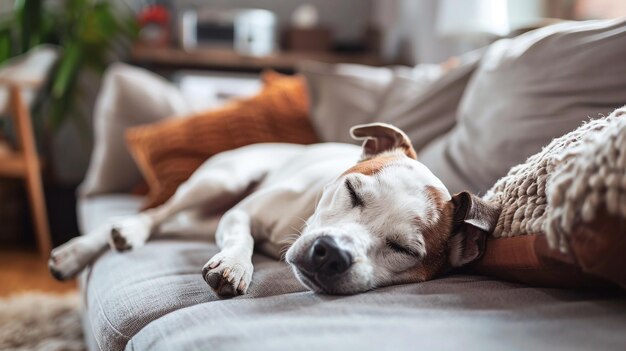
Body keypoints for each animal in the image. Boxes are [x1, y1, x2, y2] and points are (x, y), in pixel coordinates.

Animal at [48, 124, 498, 296]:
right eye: (352, 191)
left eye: (404, 250)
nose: (331, 254)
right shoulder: (239, 215)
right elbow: (242, 238)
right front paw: (234, 265)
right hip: (221, 181)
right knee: (157, 214)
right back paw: (98, 243)